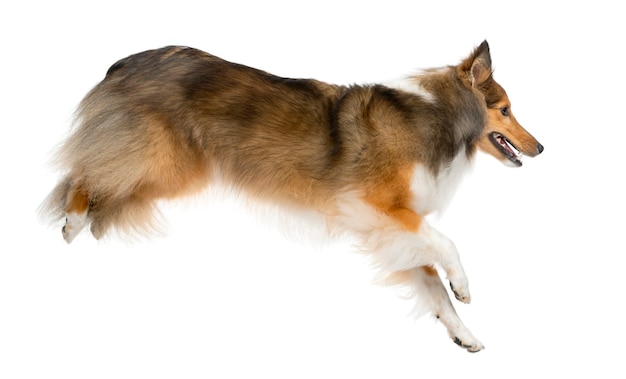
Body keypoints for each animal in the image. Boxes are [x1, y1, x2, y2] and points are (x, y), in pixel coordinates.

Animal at [41, 41, 540, 354]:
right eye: (505, 109)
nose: (540, 148)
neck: (439, 115)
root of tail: (124, 62)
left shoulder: (391, 224)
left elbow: (432, 285)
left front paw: (462, 333)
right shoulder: (374, 205)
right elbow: (447, 246)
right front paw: (465, 286)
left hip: (168, 170)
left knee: (102, 177)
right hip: (161, 159)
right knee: (85, 170)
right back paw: (72, 219)